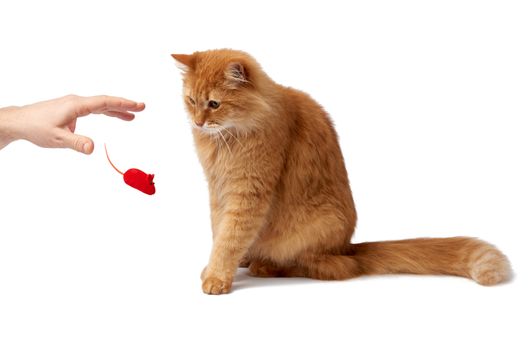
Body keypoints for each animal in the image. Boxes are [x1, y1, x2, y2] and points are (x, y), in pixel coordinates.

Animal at [172, 49, 512, 294]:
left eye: (214, 104)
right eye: (191, 101)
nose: (198, 122)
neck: (227, 138)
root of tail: (349, 247)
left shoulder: (248, 190)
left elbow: (229, 237)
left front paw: (217, 275)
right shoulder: (217, 190)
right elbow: (219, 230)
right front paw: (217, 267)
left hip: (315, 231)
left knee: (333, 267)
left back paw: (265, 266)